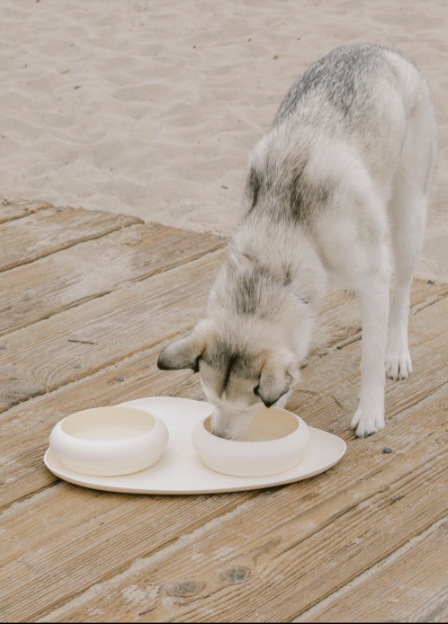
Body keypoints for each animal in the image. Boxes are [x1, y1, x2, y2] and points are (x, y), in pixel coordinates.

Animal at [158, 45, 438, 438]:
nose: (220, 437)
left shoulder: (373, 279)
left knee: (402, 294)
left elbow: (369, 357)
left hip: (409, 218)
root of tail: (381, 50)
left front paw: (370, 411)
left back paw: (397, 353)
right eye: (210, 399)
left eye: (246, 405)